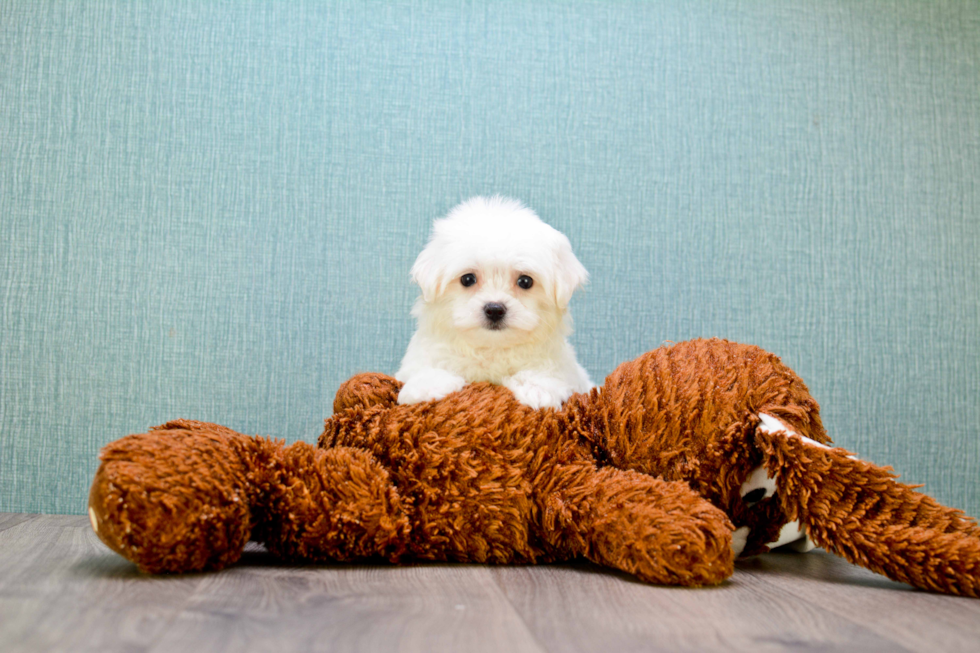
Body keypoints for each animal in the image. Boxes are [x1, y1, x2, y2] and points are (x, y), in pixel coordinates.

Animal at [396, 195, 592, 408]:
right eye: (467, 279)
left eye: (525, 281)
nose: (495, 309)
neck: (491, 350)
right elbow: (428, 367)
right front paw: (425, 387)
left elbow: (546, 372)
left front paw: (537, 389)